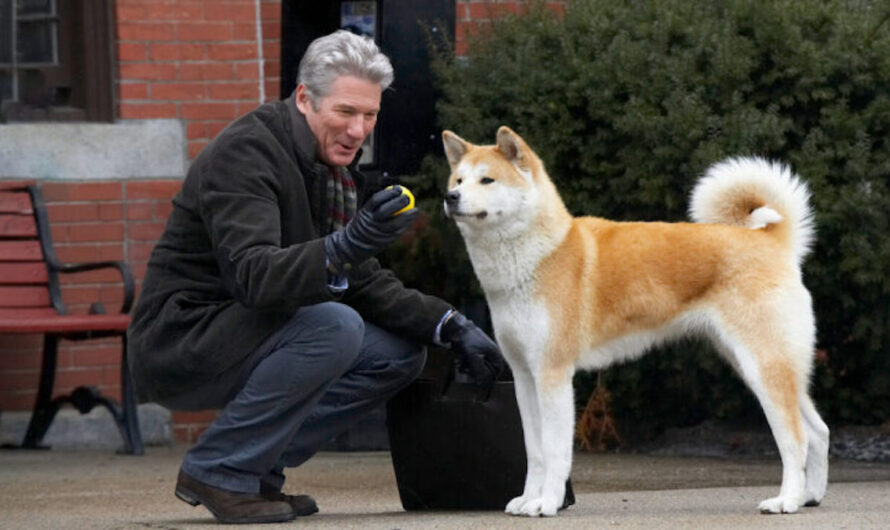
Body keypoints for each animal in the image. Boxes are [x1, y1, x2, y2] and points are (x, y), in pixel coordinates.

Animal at [440, 126, 828, 512]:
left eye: (487, 179)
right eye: (459, 179)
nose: (450, 196)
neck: (541, 255)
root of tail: (771, 241)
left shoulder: (553, 374)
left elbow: (554, 451)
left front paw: (546, 503)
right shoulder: (524, 376)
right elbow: (534, 452)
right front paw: (528, 500)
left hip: (764, 367)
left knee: (796, 438)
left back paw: (787, 500)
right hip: (763, 366)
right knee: (818, 431)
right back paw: (809, 496)